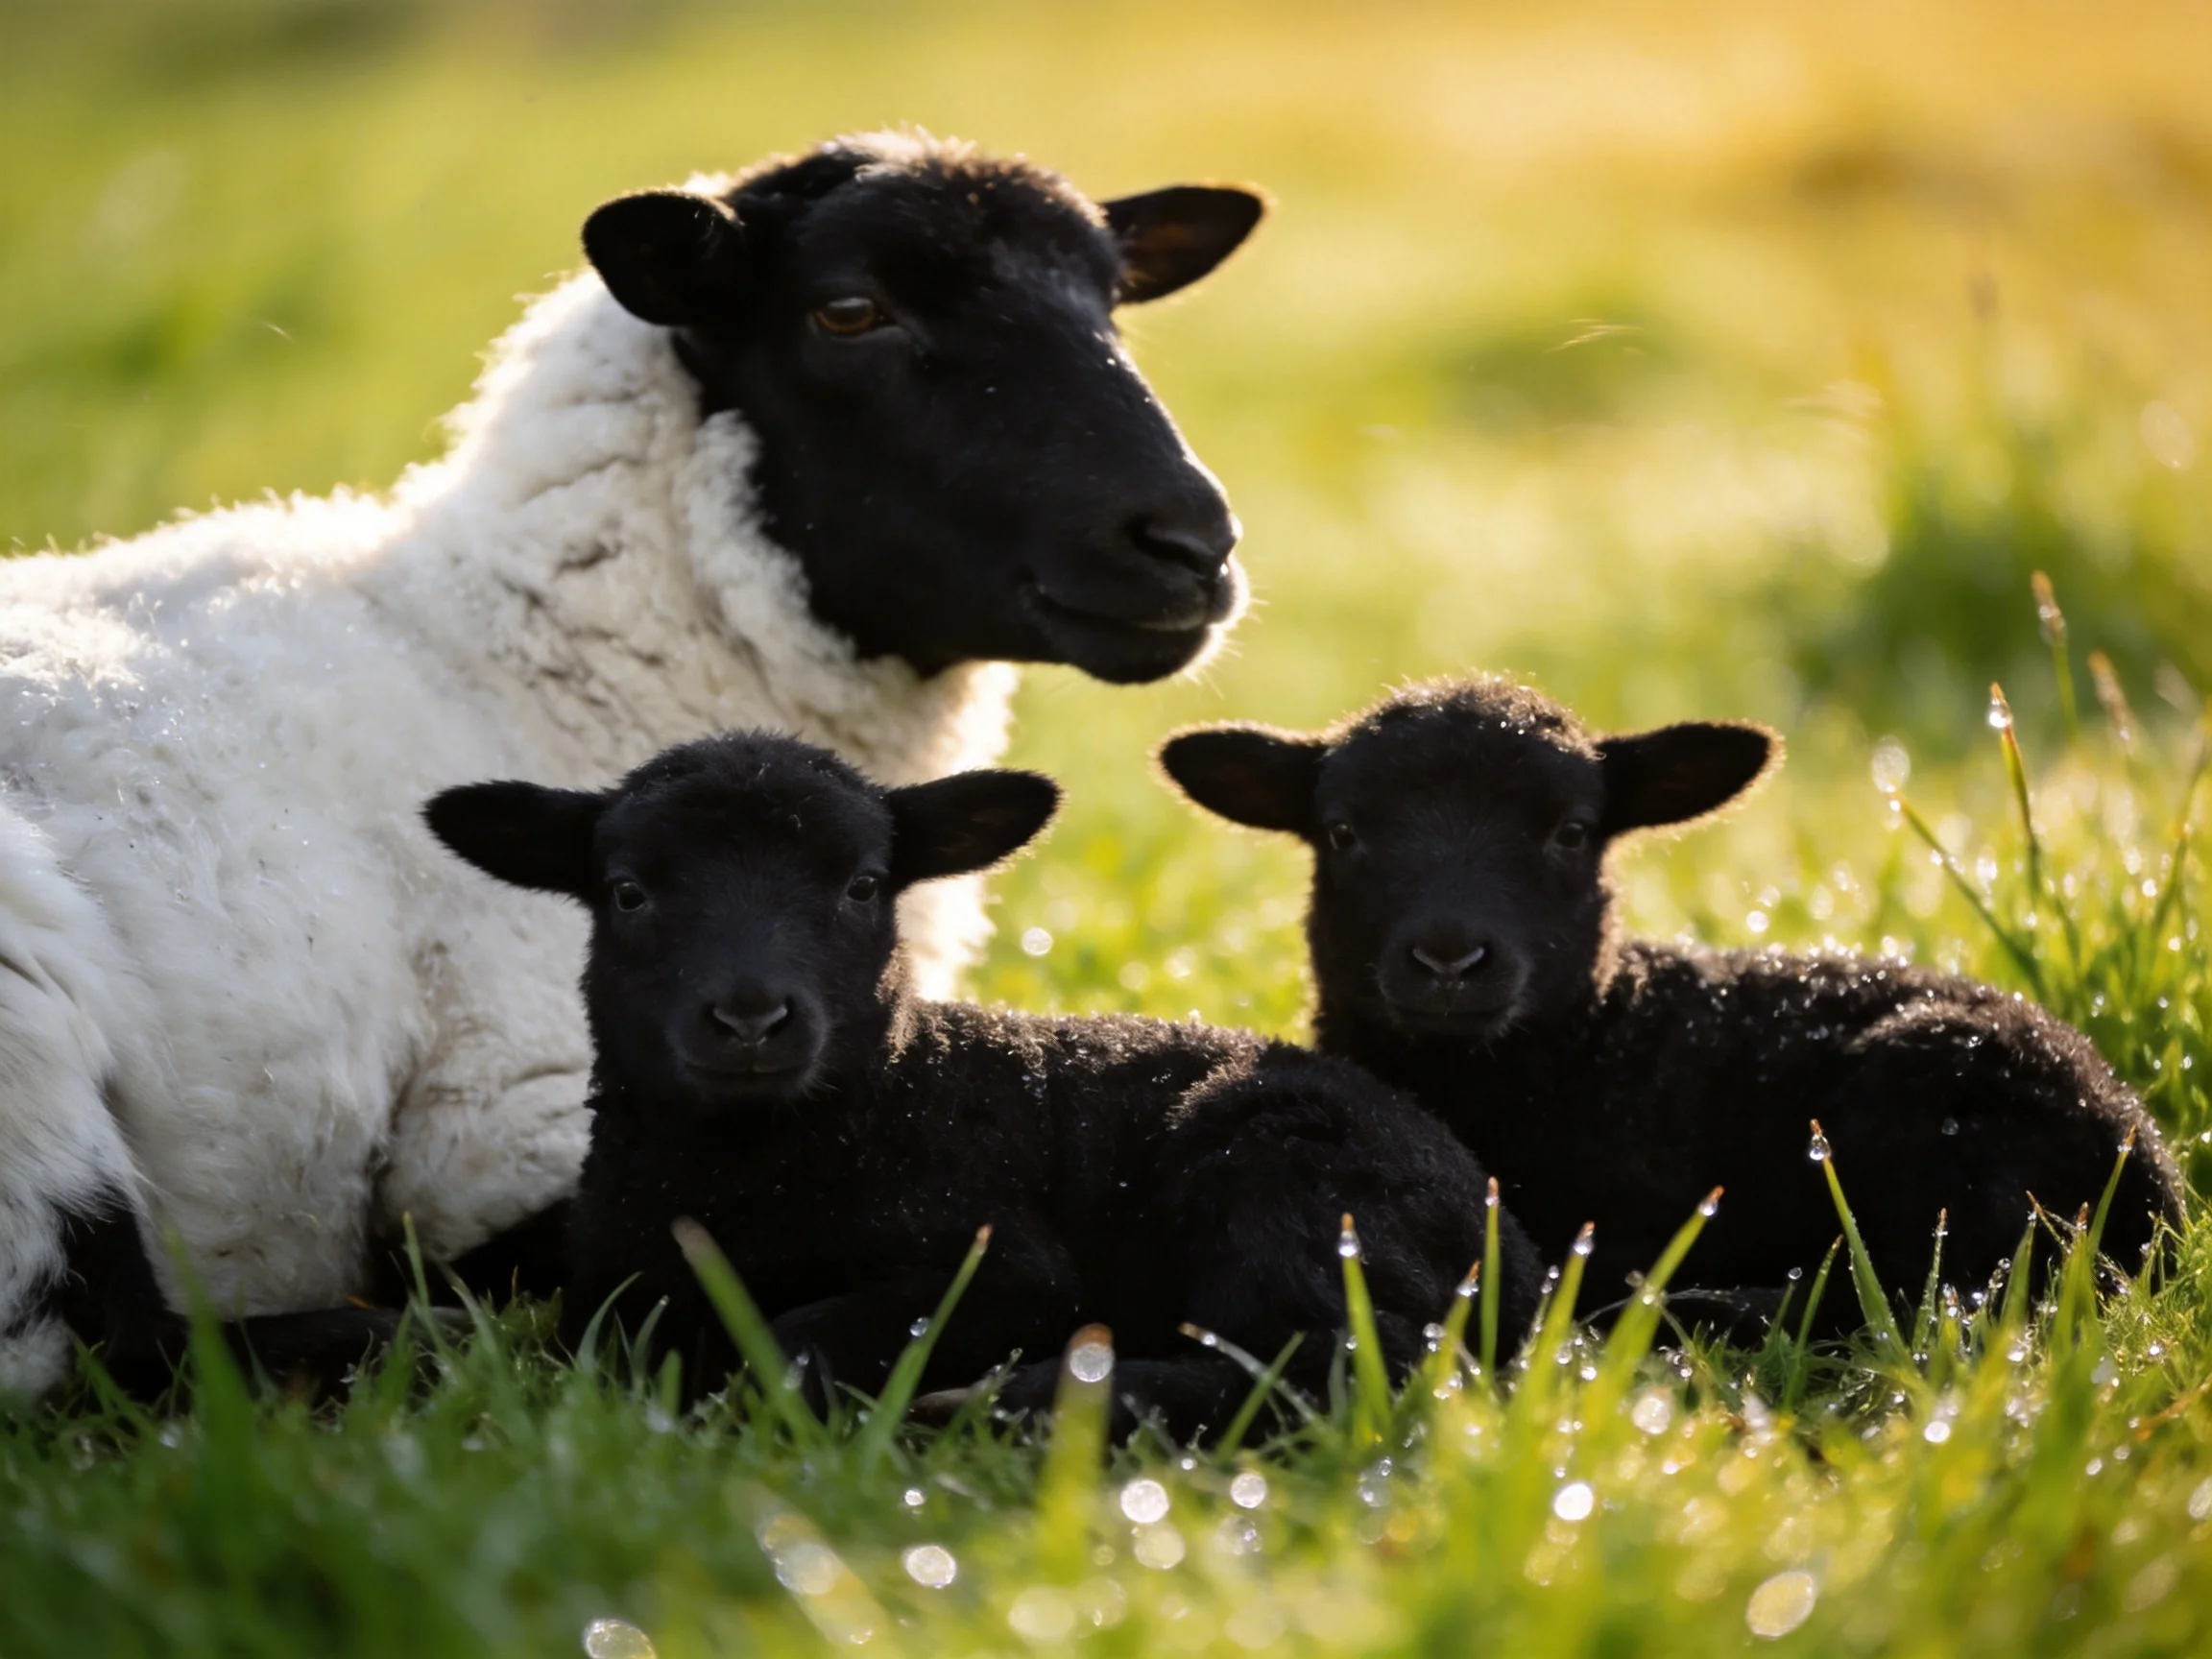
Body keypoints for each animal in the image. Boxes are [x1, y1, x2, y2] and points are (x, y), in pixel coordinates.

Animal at [0, 131, 1267, 1400]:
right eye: (850, 311)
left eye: (1112, 299)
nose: (1192, 545)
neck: (542, 654)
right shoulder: (512, 1119)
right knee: (111, 1351)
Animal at [425, 731, 1543, 1437]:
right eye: (627, 892)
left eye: (864, 886)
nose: (750, 1018)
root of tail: (1520, 1253)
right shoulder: (611, 1283)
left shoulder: (1007, 1266)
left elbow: (790, 1342)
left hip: (1280, 1172)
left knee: (1349, 1367)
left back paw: (1015, 1408)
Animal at [1159, 675, 2185, 1324]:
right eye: (1341, 832)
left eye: (1573, 832)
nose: (1450, 958)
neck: (1597, 1040)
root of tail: (2157, 1182)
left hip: (1932, 1101)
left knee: (1936, 1294)